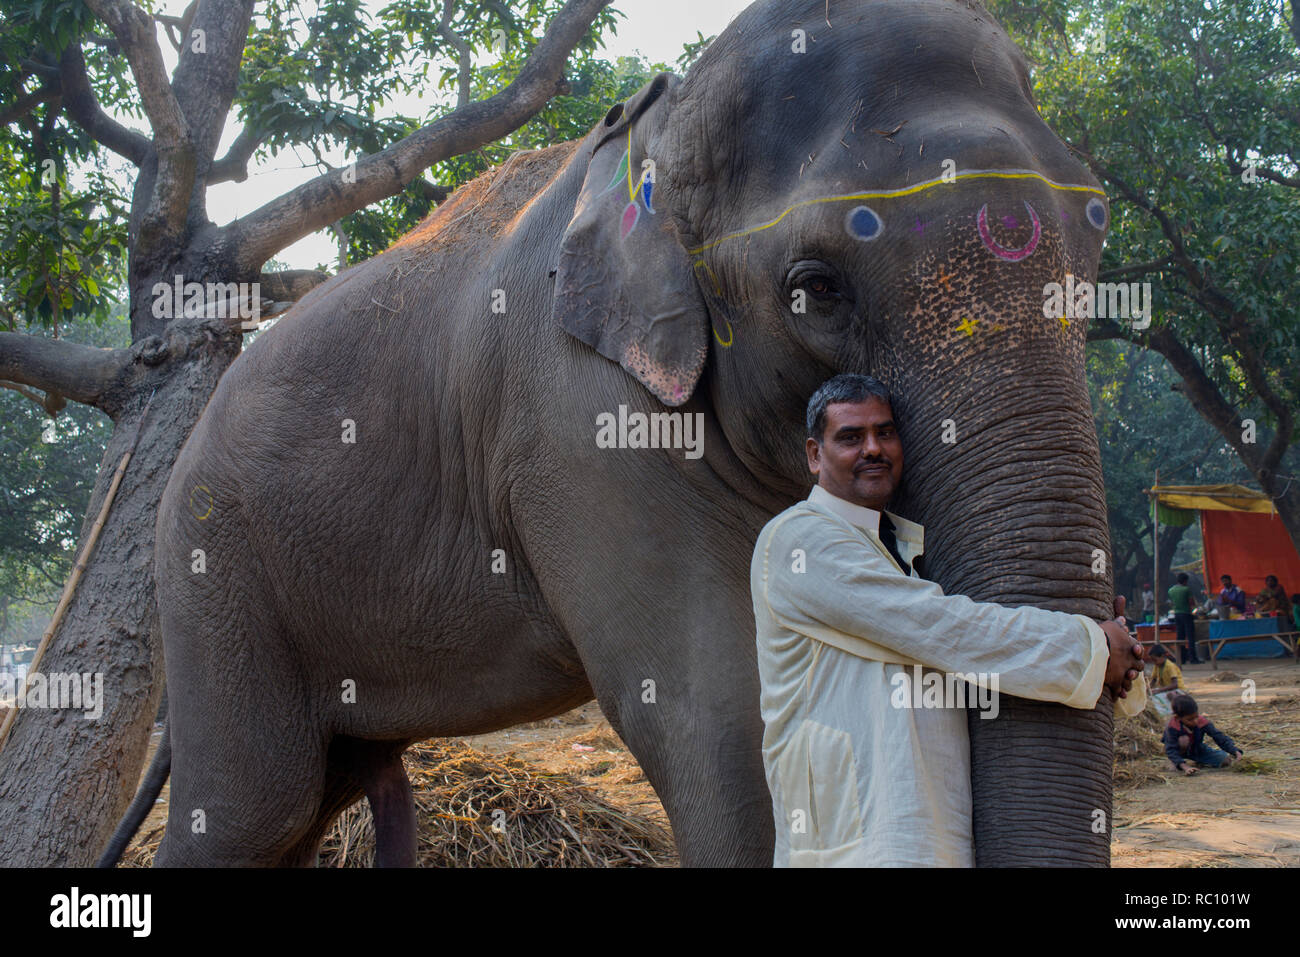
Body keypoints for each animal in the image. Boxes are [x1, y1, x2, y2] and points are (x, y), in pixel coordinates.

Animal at [101, 0, 1123, 868]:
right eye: (815, 287)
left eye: (1099, 228)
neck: (657, 135)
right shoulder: (576, 423)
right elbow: (718, 712)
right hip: (214, 570)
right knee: (253, 805)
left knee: (315, 795)